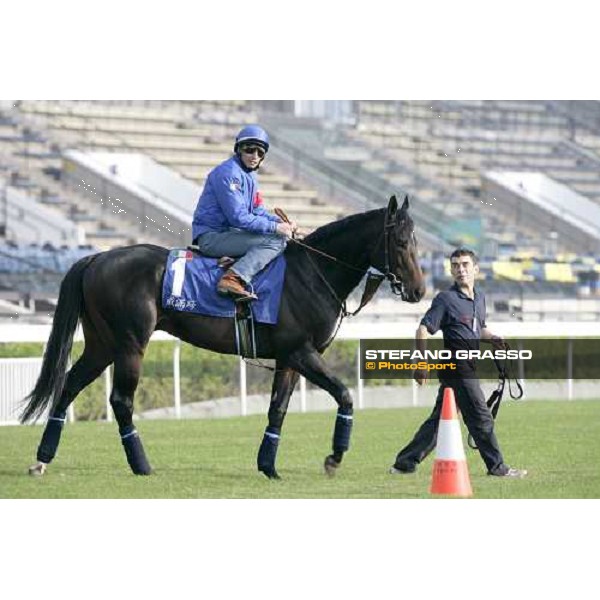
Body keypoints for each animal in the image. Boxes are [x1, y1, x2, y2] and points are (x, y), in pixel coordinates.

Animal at [22, 196, 426, 478]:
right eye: (400, 241)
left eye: (416, 240)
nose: (419, 290)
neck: (312, 273)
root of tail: (96, 258)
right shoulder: (302, 352)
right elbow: (344, 395)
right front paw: (333, 458)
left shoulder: (289, 359)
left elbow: (278, 409)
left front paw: (268, 466)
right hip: (130, 345)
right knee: (121, 400)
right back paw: (141, 464)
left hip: (102, 344)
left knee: (69, 385)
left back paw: (42, 460)